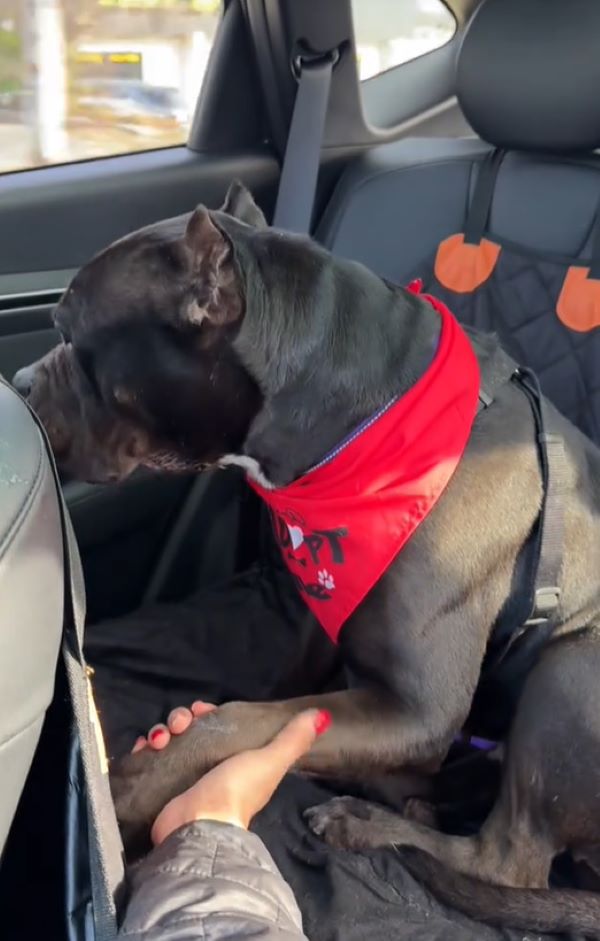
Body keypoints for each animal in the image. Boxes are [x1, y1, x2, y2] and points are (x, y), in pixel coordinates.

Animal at [12, 182, 600, 932]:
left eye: (70, 334)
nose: (21, 378)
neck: (362, 421)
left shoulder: (415, 709)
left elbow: (242, 720)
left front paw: (136, 787)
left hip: (573, 667)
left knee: (508, 862)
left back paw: (372, 823)